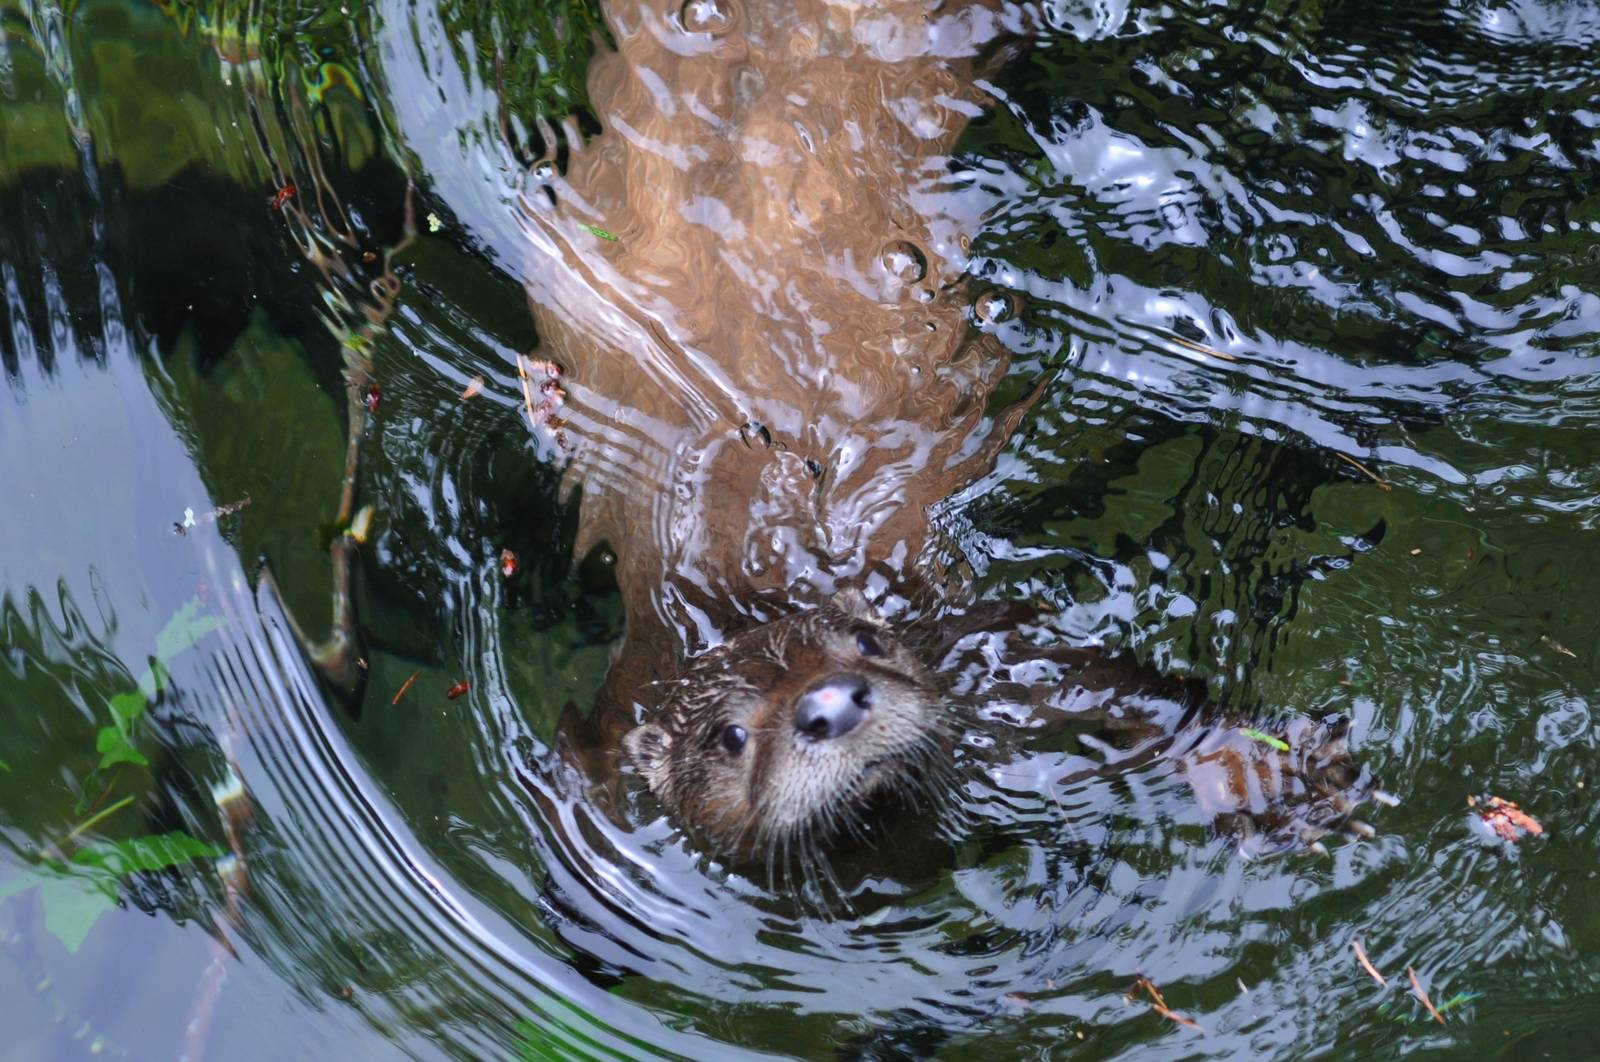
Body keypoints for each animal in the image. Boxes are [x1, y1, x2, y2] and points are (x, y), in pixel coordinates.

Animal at [511, 0, 1376, 857]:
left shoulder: (975, 649)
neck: (745, 609)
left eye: (866, 645)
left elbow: (1127, 687)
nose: (832, 701)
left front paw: (1261, 773)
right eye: (727, 734)